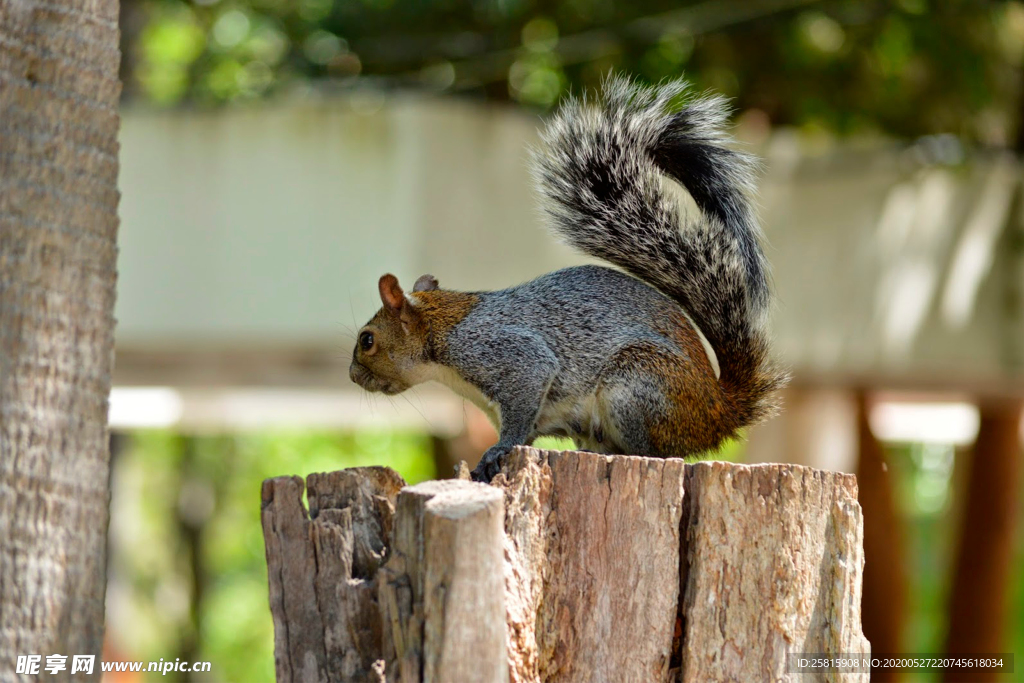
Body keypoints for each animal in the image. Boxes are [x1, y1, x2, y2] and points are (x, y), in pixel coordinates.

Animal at [348, 76, 786, 481]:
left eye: (367, 340)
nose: (353, 376)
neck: (441, 329)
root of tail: (718, 409)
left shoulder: (504, 353)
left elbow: (523, 401)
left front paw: (497, 451)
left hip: (639, 386)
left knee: (659, 452)